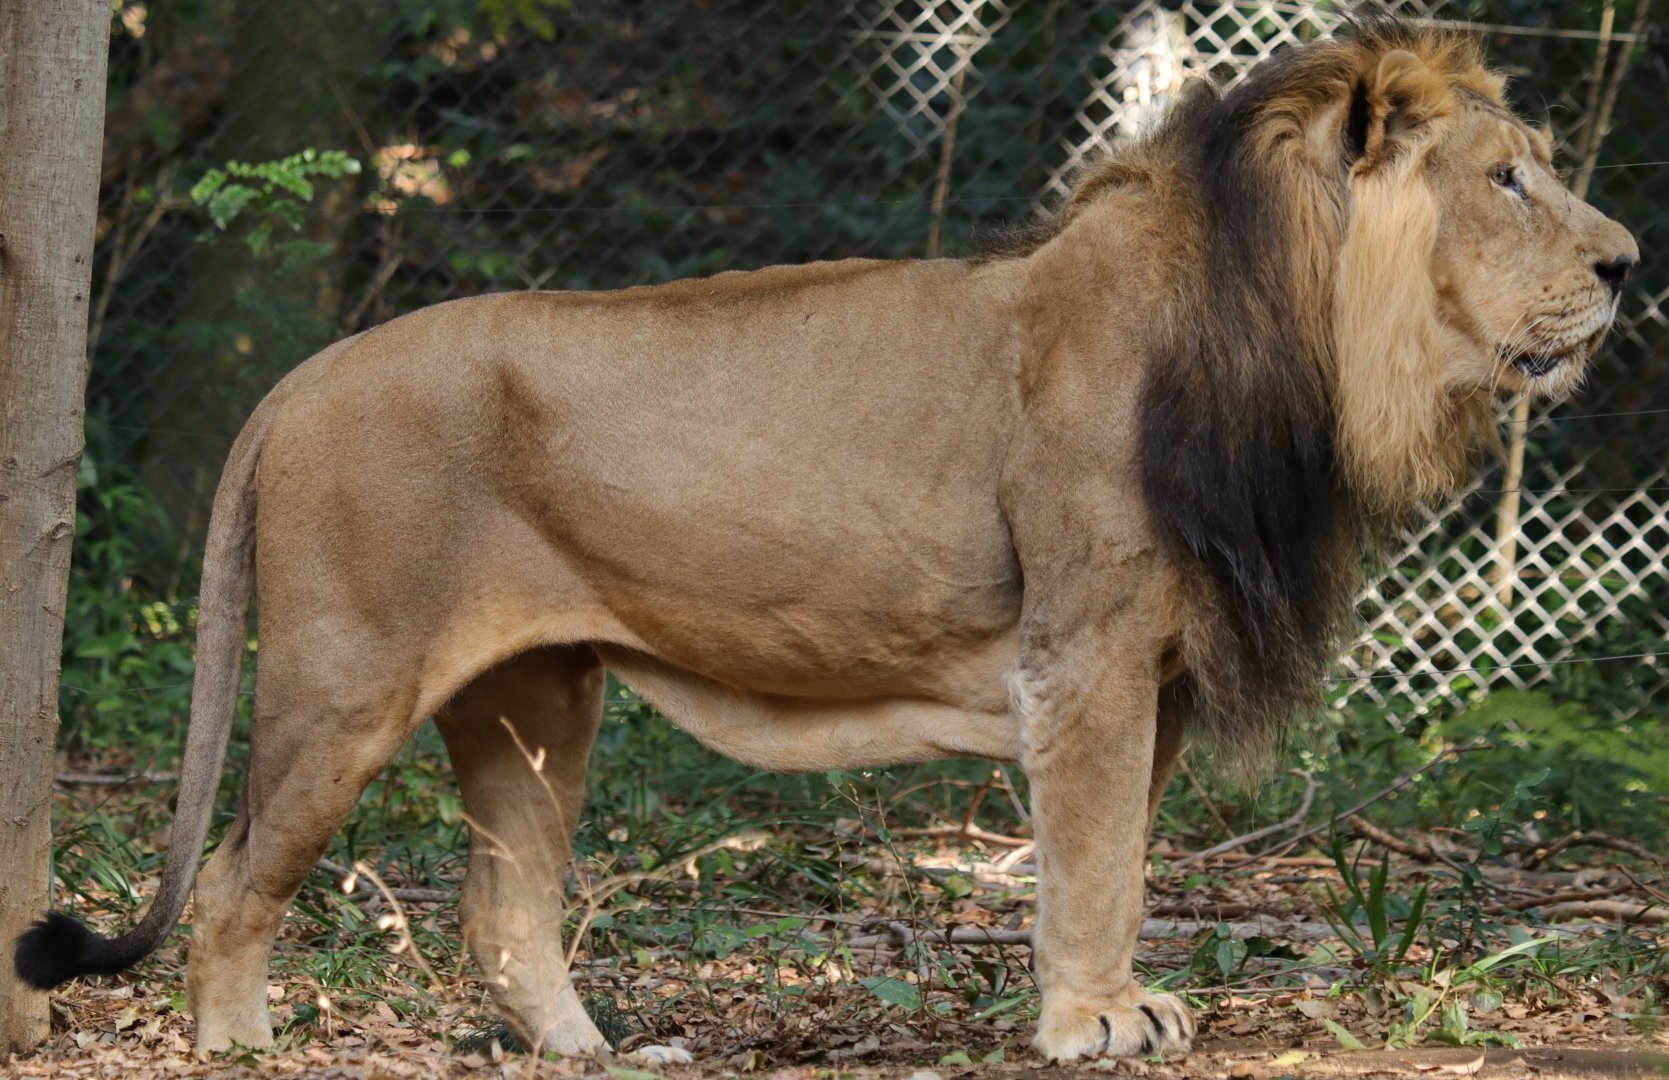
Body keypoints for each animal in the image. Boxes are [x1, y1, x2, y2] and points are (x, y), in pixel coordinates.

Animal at [17, 11, 1635, 1064]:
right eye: (1506, 178)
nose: (1628, 263)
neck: (1293, 339)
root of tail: (298, 377)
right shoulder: (1088, 654)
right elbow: (1092, 856)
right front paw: (1095, 1020)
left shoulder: (1159, 673)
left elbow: (1121, 854)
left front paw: (1116, 1001)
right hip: (343, 678)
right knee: (232, 884)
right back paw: (240, 1047)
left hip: (534, 700)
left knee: (501, 904)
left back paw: (593, 1053)